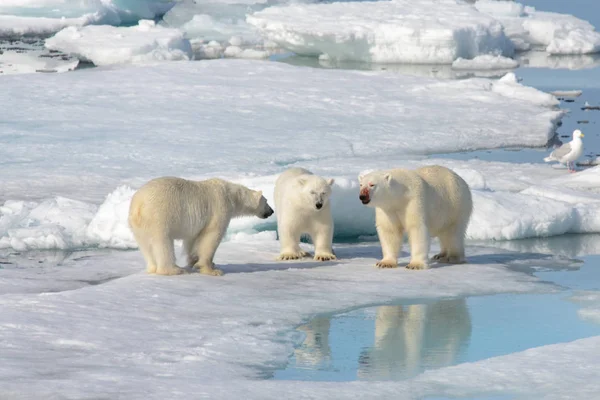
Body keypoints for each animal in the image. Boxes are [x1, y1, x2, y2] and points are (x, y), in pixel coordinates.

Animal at [130, 177, 276, 276]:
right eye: (267, 201)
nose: (272, 211)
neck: (231, 195)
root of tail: (139, 205)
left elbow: (193, 239)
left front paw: (194, 260)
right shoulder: (220, 208)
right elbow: (211, 237)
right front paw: (212, 269)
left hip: (138, 227)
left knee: (146, 246)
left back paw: (152, 267)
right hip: (159, 217)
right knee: (163, 243)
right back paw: (175, 269)